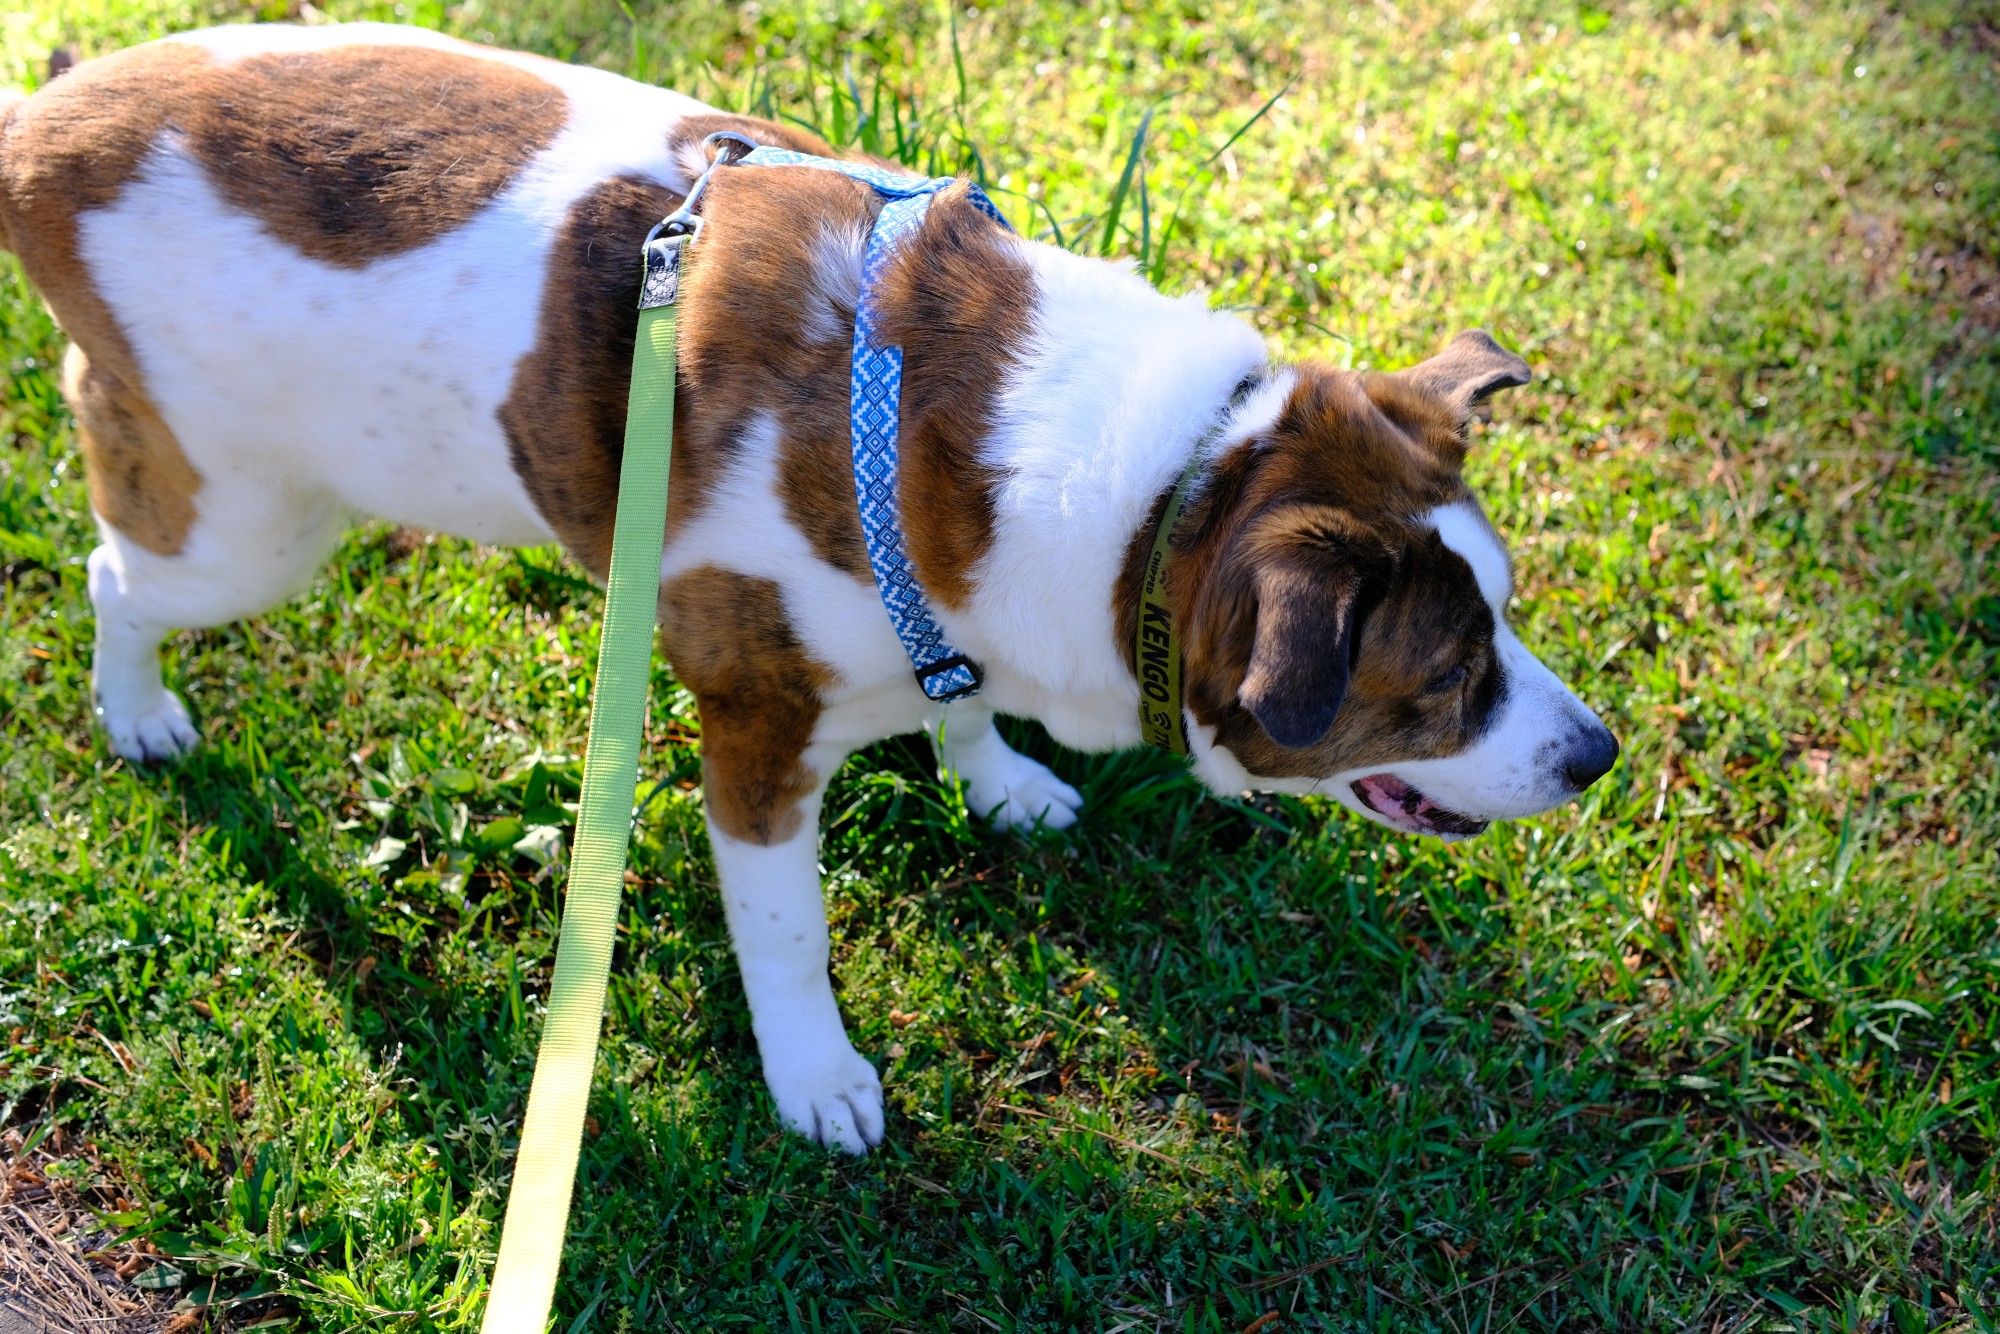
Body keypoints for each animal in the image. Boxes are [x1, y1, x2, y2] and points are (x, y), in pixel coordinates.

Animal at [0, 28, 1616, 1160]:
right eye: (1442, 681)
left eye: (1506, 614)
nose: (1597, 755)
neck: (1163, 484)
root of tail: (50, 118)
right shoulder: (757, 727)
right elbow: (787, 930)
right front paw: (816, 1071)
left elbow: (959, 703)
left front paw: (994, 770)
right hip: (246, 524)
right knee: (114, 567)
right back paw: (135, 708)